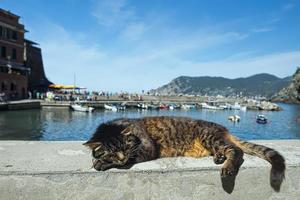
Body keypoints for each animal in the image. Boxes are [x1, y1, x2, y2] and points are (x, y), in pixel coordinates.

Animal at [83, 116, 284, 193]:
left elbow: (130, 158)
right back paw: (218, 157)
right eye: (112, 152)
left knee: (236, 150)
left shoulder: (147, 148)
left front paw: (102, 163)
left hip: (209, 136)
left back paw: (227, 166)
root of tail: (224, 129)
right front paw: (98, 159)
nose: (121, 157)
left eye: (125, 148)